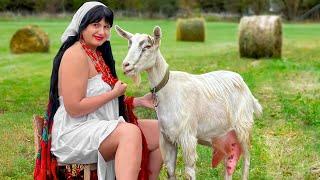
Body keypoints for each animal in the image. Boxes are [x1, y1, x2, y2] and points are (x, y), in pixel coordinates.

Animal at [115, 25, 262, 180]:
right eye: (129, 44)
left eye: (147, 46)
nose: (126, 65)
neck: (169, 89)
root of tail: (245, 86)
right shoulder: (167, 139)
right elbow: (170, 171)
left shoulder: (188, 138)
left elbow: (190, 172)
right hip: (224, 135)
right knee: (229, 161)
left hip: (243, 126)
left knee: (246, 158)